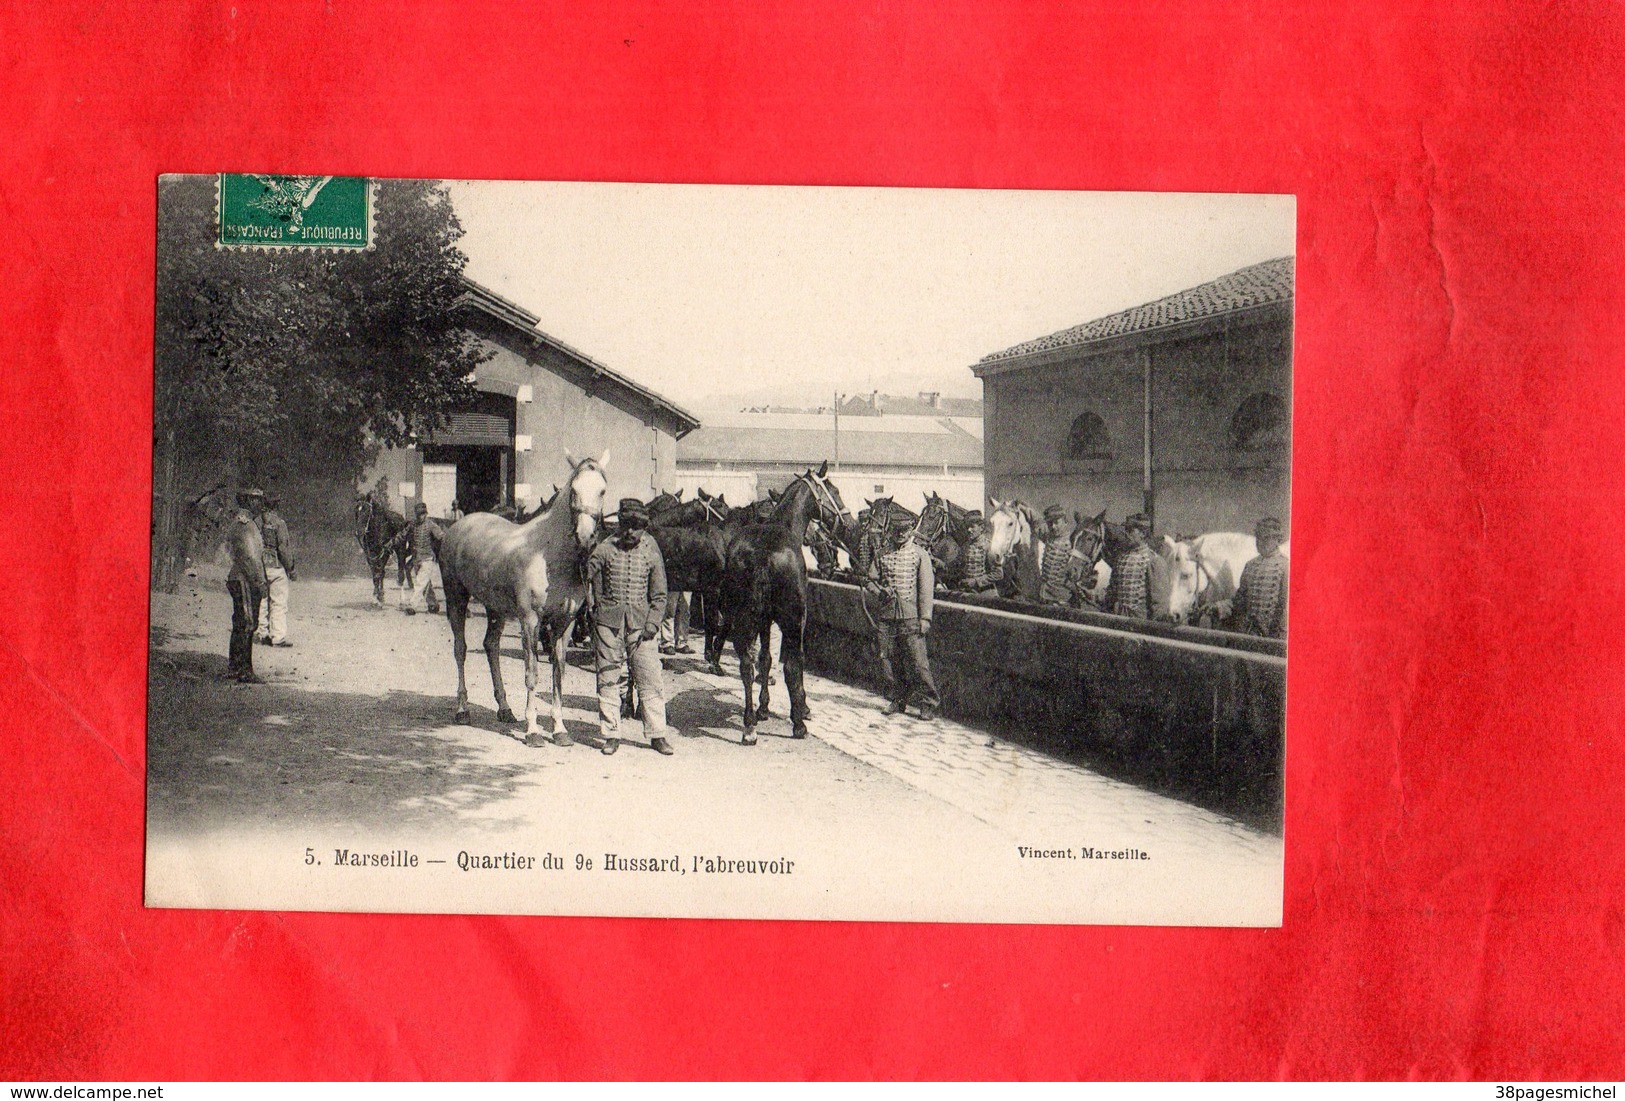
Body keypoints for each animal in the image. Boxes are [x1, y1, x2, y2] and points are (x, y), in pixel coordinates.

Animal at [438, 451, 611, 746]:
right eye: (574, 490)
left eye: (602, 490)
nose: (585, 538)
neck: (550, 556)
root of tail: (458, 525)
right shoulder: (530, 621)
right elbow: (532, 673)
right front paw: (532, 731)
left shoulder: (564, 623)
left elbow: (558, 673)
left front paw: (560, 730)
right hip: (456, 598)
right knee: (460, 650)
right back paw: (462, 710)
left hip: (495, 608)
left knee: (491, 646)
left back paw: (505, 709)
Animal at [721, 461, 851, 746]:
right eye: (834, 490)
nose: (848, 522)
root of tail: (761, 554)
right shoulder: (796, 619)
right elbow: (793, 663)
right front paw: (801, 708)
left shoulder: (765, 620)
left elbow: (765, 659)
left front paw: (763, 707)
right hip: (791, 619)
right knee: (791, 665)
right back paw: (798, 724)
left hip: (744, 617)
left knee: (746, 665)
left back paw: (749, 724)